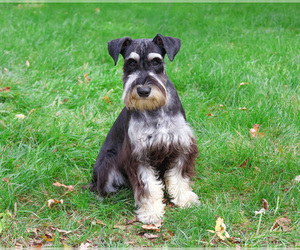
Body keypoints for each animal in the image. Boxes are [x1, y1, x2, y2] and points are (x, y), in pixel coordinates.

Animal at [90, 34, 200, 224]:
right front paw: (151, 212)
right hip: (108, 162)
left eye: (156, 61)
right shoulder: (138, 154)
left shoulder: (181, 145)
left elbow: (179, 176)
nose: (143, 90)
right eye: (130, 63)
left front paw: (184, 199)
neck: (154, 109)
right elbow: (147, 185)